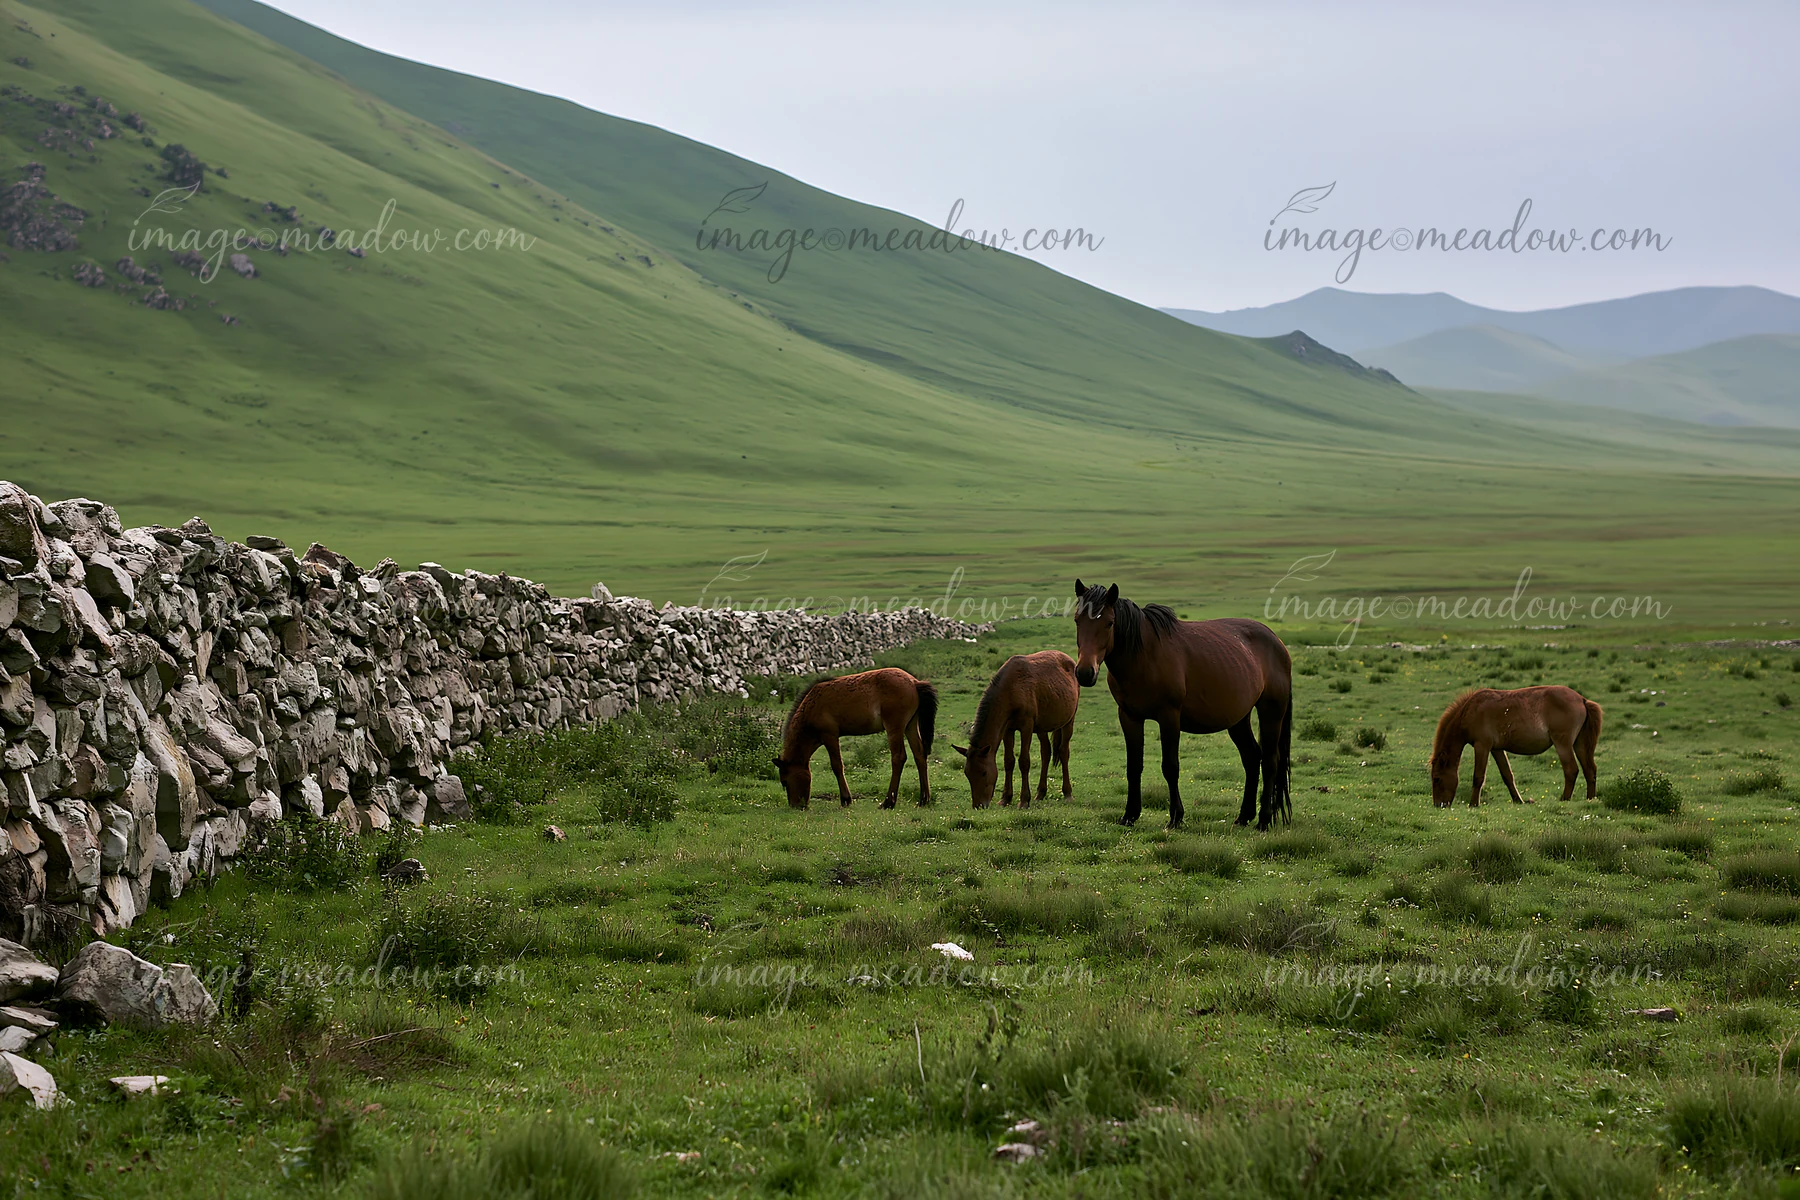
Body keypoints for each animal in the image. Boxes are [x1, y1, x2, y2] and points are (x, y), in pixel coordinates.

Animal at [772, 667, 938, 809]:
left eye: (784, 782)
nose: (795, 806)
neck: (812, 706)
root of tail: (914, 682)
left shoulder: (830, 736)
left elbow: (837, 766)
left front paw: (846, 799)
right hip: (910, 726)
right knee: (919, 754)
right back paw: (923, 799)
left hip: (894, 728)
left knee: (899, 758)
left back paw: (888, 802)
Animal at [952, 650, 1079, 808]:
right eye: (967, 774)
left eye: (984, 772)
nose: (979, 805)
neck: (1011, 689)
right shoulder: (1008, 728)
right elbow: (1009, 761)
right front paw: (1005, 798)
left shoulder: (1027, 726)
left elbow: (1024, 761)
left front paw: (1024, 800)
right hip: (1042, 726)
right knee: (1046, 752)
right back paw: (1040, 793)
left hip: (1069, 720)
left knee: (1063, 751)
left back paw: (1067, 793)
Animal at [1072, 581, 1293, 830]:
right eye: (1077, 620)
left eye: (1109, 622)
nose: (1085, 673)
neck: (1144, 657)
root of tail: (1277, 642)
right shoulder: (1129, 717)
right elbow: (1133, 766)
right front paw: (1130, 815)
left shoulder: (1169, 717)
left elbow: (1170, 767)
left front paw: (1176, 817)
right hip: (1238, 719)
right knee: (1252, 757)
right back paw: (1244, 816)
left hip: (1271, 712)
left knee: (1270, 761)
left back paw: (1264, 820)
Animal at [1429, 685, 1602, 806]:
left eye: (1437, 779)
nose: (1438, 805)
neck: (1470, 711)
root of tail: (1582, 699)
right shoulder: (1496, 749)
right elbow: (1507, 776)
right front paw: (1518, 800)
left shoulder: (1482, 746)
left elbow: (1478, 777)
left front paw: (1473, 804)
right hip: (1580, 744)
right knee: (1590, 770)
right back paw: (1590, 799)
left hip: (1563, 744)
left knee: (1571, 770)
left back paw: (1564, 799)